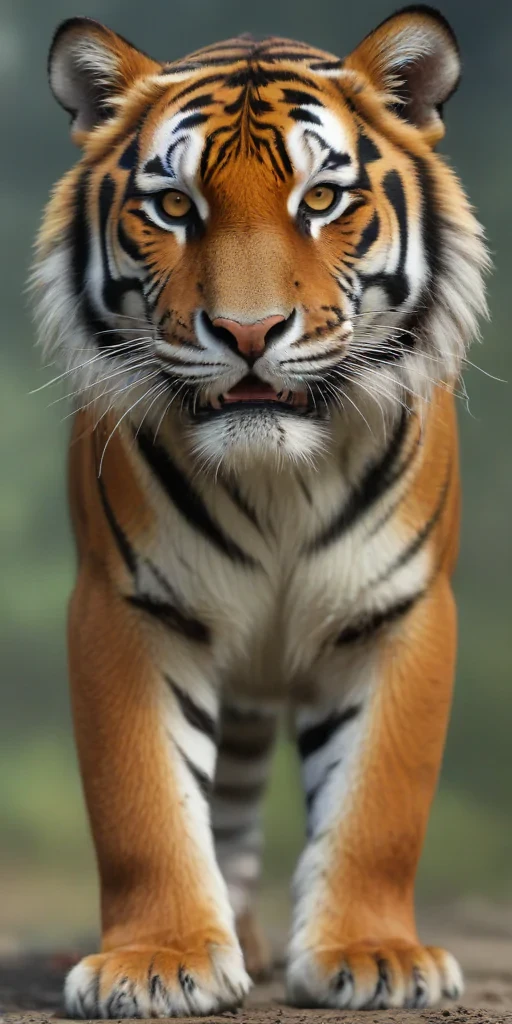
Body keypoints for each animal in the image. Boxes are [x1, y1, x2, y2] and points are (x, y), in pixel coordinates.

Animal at [32, 4, 488, 1017]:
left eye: (321, 201)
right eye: (174, 207)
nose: (247, 333)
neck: (283, 478)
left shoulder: (399, 611)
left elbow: (379, 803)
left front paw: (374, 957)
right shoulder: (129, 609)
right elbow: (145, 803)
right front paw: (160, 960)